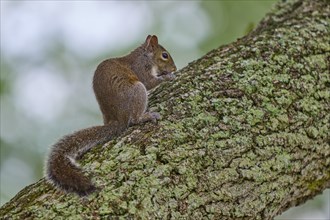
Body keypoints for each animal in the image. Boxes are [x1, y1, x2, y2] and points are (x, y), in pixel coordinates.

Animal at [45, 35, 178, 197]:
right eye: (165, 55)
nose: (174, 68)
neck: (144, 56)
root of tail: (116, 120)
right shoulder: (140, 69)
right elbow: (149, 82)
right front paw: (169, 77)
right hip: (137, 91)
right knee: (134, 119)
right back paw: (146, 116)